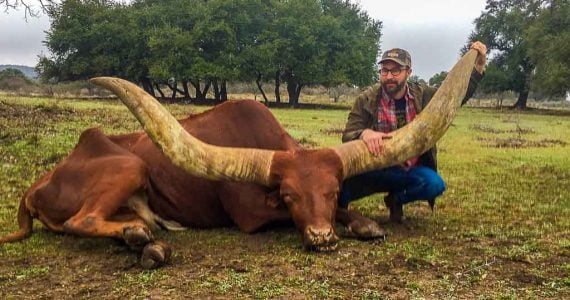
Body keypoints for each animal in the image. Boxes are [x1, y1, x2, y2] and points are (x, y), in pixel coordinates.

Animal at [0, 50, 474, 268]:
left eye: (333, 187)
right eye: (287, 195)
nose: (321, 238)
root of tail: (38, 183)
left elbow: (348, 212)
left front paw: (365, 224)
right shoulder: (252, 216)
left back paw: (148, 241)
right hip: (129, 166)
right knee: (82, 220)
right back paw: (141, 240)